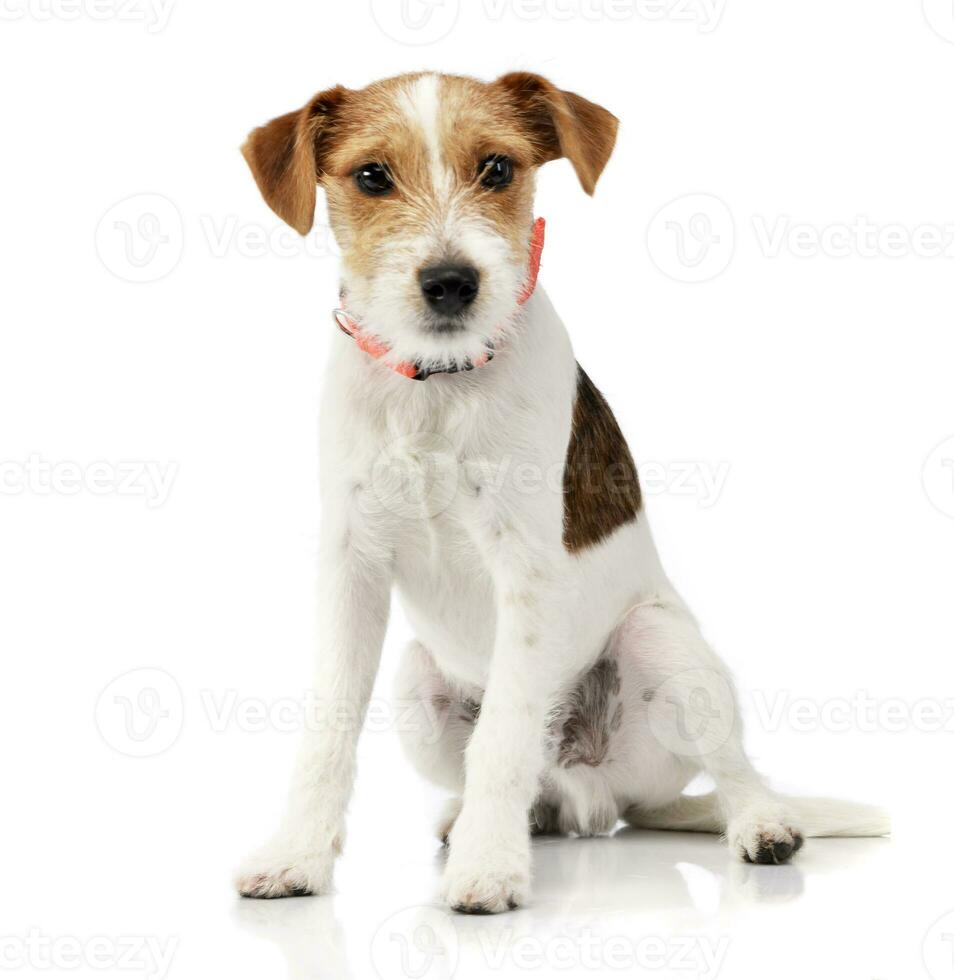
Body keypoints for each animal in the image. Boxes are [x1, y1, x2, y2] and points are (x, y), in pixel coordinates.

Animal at [234, 72, 888, 916]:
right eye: (372, 176)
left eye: (498, 168)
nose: (451, 283)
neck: (437, 387)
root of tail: (601, 799)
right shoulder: (353, 564)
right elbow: (328, 730)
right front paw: (298, 855)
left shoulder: (526, 569)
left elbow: (505, 735)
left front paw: (488, 867)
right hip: (418, 686)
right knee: (531, 786)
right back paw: (492, 819)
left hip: (663, 645)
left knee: (735, 773)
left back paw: (762, 826)